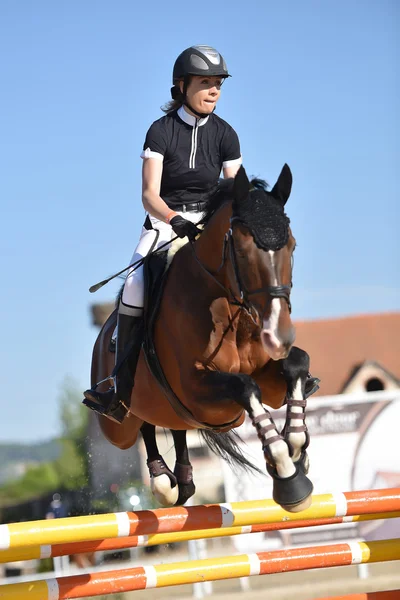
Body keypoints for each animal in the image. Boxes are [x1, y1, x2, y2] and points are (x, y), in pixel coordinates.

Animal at [90, 166, 318, 512]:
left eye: (291, 245)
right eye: (242, 250)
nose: (278, 335)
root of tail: (104, 333)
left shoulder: (269, 380)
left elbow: (297, 364)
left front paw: (296, 450)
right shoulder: (198, 391)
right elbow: (244, 386)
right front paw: (287, 475)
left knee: (172, 426)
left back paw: (181, 480)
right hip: (118, 428)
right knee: (141, 423)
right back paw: (162, 480)